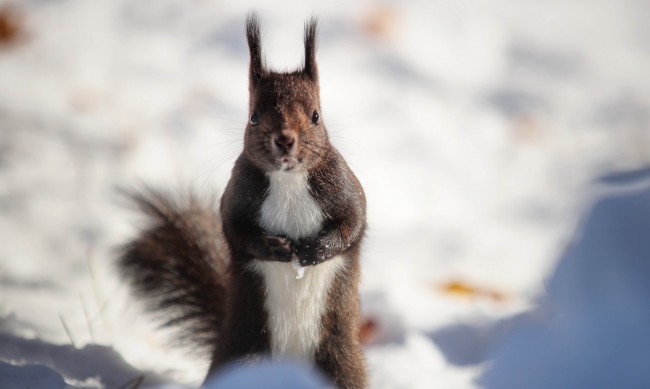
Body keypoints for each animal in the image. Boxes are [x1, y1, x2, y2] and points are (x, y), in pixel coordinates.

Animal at [118, 12, 368, 388]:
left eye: (315, 116)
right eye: (253, 117)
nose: (284, 139)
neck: (288, 180)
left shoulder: (343, 187)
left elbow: (352, 222)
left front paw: (315, 249)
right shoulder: (237, 195)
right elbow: (235, 230)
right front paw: (273, 247)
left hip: (339, 363)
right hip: (246, 350)